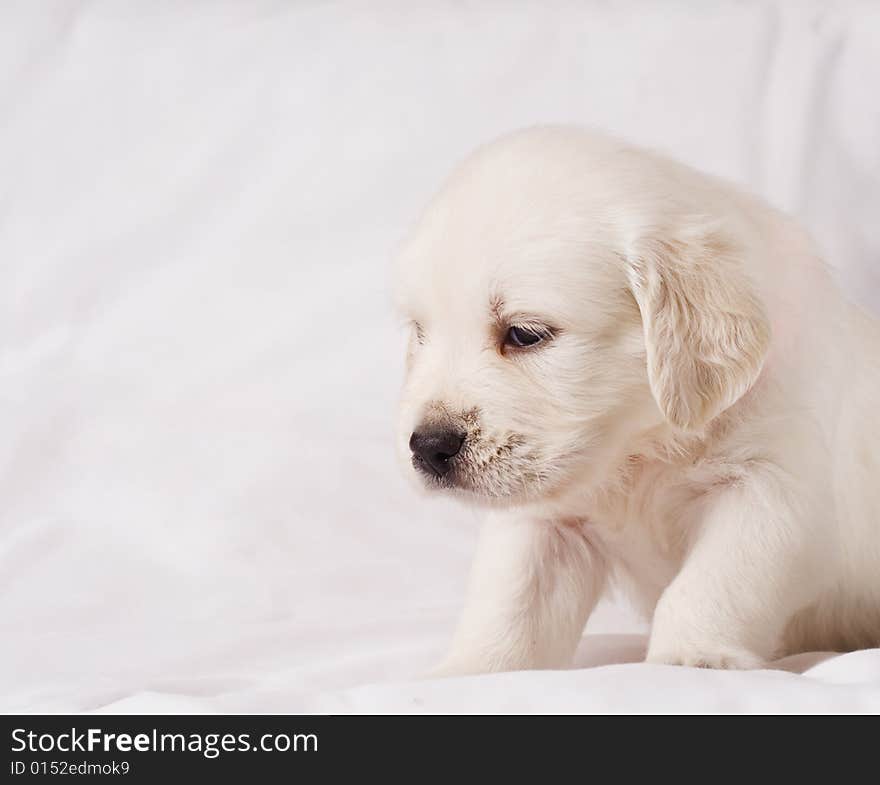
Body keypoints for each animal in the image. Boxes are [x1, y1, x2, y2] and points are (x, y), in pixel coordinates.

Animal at [394, 125, 880, 672]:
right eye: (420, 333)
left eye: (524, 334)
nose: (428, 447)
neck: (638, 447)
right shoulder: (546, 520)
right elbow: (511, 602)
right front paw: (472, 672)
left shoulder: (769, 489)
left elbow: (712, 583)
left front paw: (691, 659)